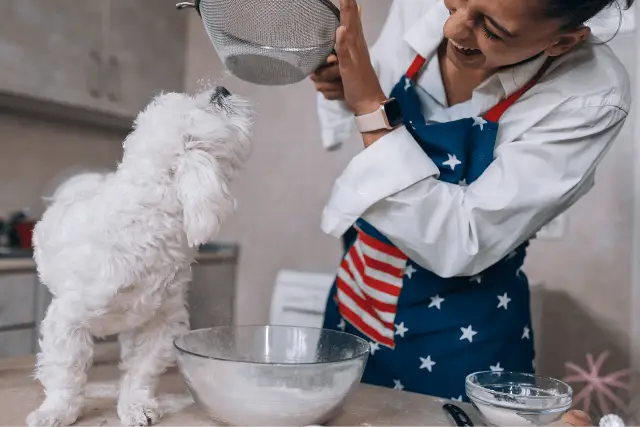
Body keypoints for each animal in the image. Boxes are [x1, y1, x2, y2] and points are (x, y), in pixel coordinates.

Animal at [26, 87, 252, 427]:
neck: (146, 223)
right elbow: (66, 374)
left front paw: (135, 405)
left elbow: (141, 371)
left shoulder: (161, 322)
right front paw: (56, 411)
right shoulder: (67, 321)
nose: (221, 89)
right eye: (214, 105)